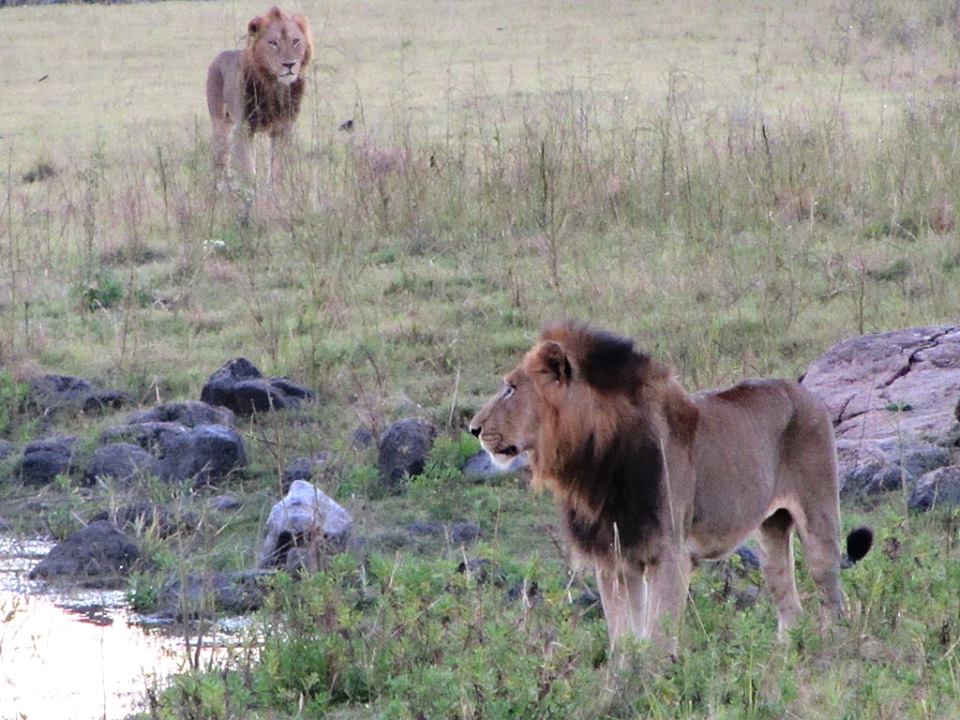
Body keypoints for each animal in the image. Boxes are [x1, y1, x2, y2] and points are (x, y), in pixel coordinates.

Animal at [206, 6, 313, 185]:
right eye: (273, 43)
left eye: (295, 41)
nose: (289, 64)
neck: (274, 85)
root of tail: (219, 56)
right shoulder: (244, 127)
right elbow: (248, 168)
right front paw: (252, 189)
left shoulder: (283, 126)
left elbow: (277, 166)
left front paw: (276, 188)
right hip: (221, 122)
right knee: (221, 158)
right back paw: (223, 185)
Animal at [470, 321, 872, 655]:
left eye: (510, 389)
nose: (474, 428)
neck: (592, 458)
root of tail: (804, 390)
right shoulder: (614, 558)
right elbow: (624, 641)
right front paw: (620, 690)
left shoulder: (669, 554)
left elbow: (657, 640)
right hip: (772, 533)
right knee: (790, 606)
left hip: (819, 521)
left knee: (832, 599)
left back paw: (832, 656)